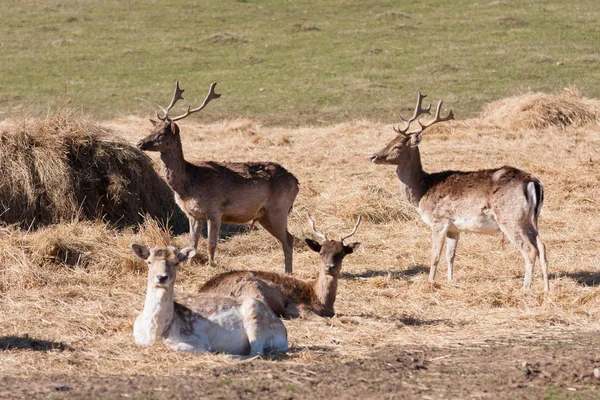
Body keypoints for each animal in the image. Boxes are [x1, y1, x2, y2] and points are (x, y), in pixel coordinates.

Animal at [131, 242, 288, 354]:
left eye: (176, 262)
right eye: (149, 261)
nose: (162, 277)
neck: (156, 332)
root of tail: (285, 335)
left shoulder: (197, 341)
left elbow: (178, 346)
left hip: (255, 316)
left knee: (256, 352)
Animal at [139, 83, 302, 274]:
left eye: (162, 133)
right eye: (152, 129)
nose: (140, 143)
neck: (189, 184)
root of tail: (296, 182)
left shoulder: (215, 209)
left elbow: (211, 243)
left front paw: (211, 266)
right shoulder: (193, 214)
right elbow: (192, 243)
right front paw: (189, 265)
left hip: (278, 209)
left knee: (289, 239)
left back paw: (288, 272)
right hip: (264, 215)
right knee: (287, 238)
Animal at [198, 216, 360, 318]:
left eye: (341, 253)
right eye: (321, 253)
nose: (330, 267)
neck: (322, 301)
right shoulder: (297, 306)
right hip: (252, 289)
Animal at [372, 94, 552, 292]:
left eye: (397, 146)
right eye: (388, 141)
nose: (373, 156)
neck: (423, 191)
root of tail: (533, 183)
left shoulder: (439, 220)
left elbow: (435, 256)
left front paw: (430, 282)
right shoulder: (454, 227)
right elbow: (450, 255)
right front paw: (450, 281)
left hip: (510, 217)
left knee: (530, 250)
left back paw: (526, 288)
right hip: (531, 219)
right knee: (542, 246)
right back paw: (546, 288)